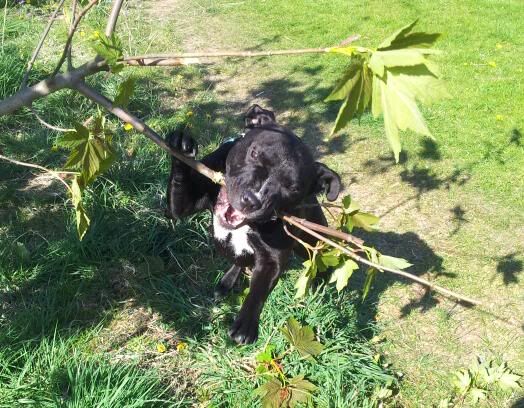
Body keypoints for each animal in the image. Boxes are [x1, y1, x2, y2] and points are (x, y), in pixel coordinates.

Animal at [166, 106, 342, 344]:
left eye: (293, 188)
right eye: (255, 153)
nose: (253, 200)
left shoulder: (272, 259)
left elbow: (259, 290)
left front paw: (245, 324)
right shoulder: (183, 204)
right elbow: (180, 185)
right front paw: (182, 149)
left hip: (311, 239)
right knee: (239, 261)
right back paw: (228, 281)